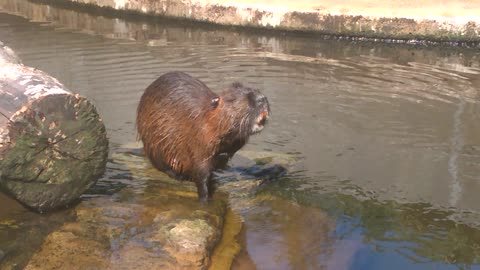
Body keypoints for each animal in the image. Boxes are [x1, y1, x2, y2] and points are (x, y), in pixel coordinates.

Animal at [135, 71, 270, 200]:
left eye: (256, 90)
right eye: (232, 99)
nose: (261, 98)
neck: (207, 121)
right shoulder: (199, 145)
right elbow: (201, 175)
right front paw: (204, 198)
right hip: (153, 143)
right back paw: (177, 175)